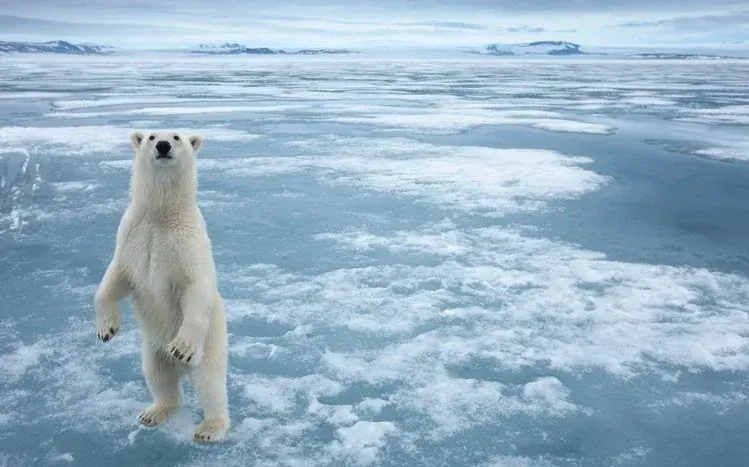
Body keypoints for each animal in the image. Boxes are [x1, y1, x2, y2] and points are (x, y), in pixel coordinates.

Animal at [93, 130, 230, 443]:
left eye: (177, 136)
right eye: (151, 135)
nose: (163, 145)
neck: (160, 215)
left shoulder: (188, 244)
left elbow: (196, 288)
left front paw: (181, 347)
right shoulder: (132, 236)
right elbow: (115, 279)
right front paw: (107, 329)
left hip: (211, 344)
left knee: (210, 384)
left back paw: (210, 428)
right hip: (152, 349)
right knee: (158, 377)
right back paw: (153, 412)